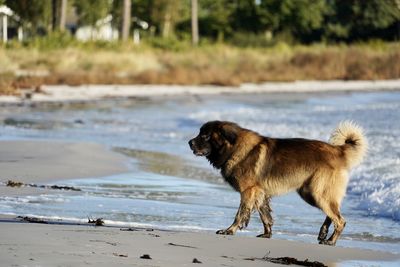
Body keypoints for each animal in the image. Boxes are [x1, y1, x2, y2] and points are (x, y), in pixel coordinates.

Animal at [189, 121, 368, 247]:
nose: (189, 143)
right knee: (333, 214)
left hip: (317, 193)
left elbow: (240, 214)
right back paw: (323, 234)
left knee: (340, 220)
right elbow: (265, 215)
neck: (234, 147)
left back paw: (331, 241)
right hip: (311, 193)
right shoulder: (259, 192)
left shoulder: (248, 191)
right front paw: (267, 234)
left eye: (205, 136)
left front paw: (230, 230)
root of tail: (338, 151)